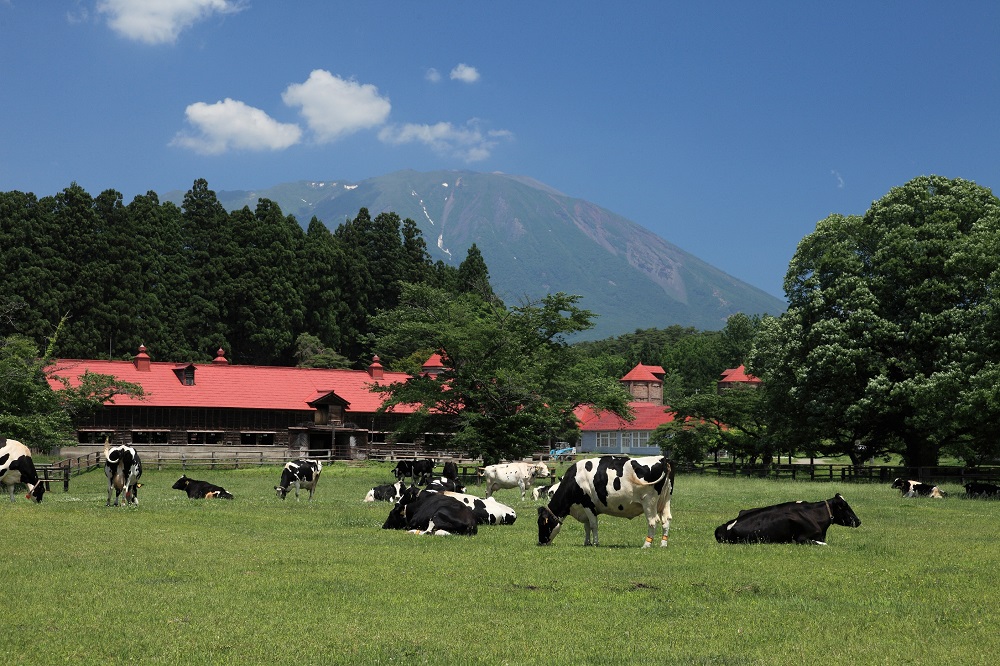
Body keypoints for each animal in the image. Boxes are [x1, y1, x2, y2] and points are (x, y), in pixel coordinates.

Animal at [536, 454, 676, 548]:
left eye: (541, 523)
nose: (540, 542)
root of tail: (663, 458)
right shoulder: (583, 508)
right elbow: (586, 527)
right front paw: (586, 542)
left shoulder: (588, 504)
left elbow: (593, 525)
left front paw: (595, 543)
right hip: (665, 501)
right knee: (666, 520)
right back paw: (663, 544)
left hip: (649, 502)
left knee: (653, 522)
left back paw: (646, 545)